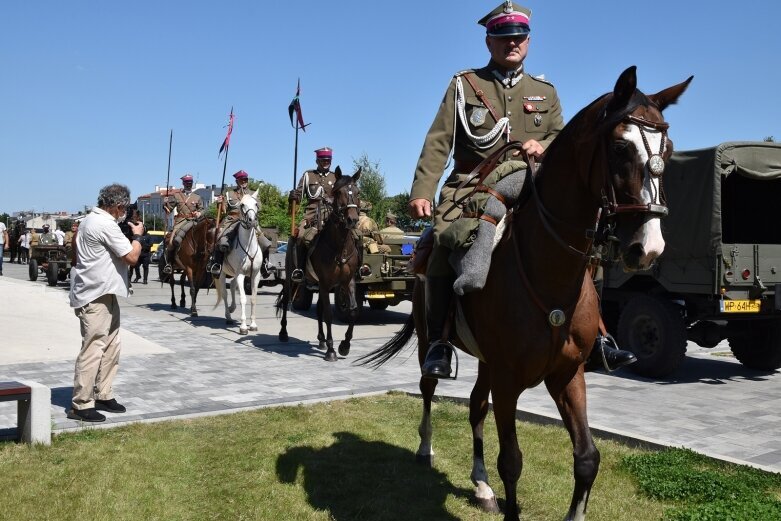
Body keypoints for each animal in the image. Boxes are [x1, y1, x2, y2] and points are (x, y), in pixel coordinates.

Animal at [213, 190, 266, 334]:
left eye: (256, 204)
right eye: (242, 205)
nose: (252, 221)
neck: (249, 246)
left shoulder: (255, 275)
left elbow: (253, 298)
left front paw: (252, 324)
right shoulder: (241, 274)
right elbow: (243, 298)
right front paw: (243, 327)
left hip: (234, 274)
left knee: (231, 285)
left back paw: (232, 308)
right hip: (222, 274)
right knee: (225, 293)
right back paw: (228, 316)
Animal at [278, 167, 362, 362]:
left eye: (357, 192)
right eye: (338, 192)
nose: (352, 220)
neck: (339, 247)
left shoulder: (347, 282)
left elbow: (353, 311)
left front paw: (344, 346)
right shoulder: (324, 283)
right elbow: (329, 315)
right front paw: (331, 351)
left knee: (319, 310)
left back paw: (322, 340)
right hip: (293, 279)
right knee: (286, 301)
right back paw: (284, 333)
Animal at [356, 66, 692, 520]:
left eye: (668, 150)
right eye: (621, 146)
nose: (648, 247)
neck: (548, 275)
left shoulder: (567, 375)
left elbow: (587, 458)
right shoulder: (508, 381)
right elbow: (512, 462)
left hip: (486, 362)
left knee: (476, 407)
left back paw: (481, 485)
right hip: (433, 338)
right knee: (428, 389)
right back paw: (426, 448)